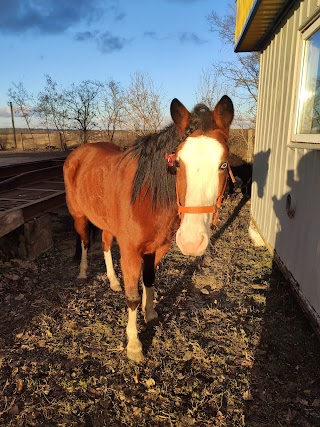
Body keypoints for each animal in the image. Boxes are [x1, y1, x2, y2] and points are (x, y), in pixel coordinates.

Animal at [63, 96, 232, 362]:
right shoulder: (131, 252)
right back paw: (82, 273)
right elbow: (132, 297)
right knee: (85, 242)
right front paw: (134, 345)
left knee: (105, 243)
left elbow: (150, 280)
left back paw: (113, 281)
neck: (147, 196)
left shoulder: (158, 247)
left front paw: (149, 312)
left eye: (223, 164)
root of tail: (78, 152)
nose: (192, 241)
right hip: (79, 216)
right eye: (178, 163)